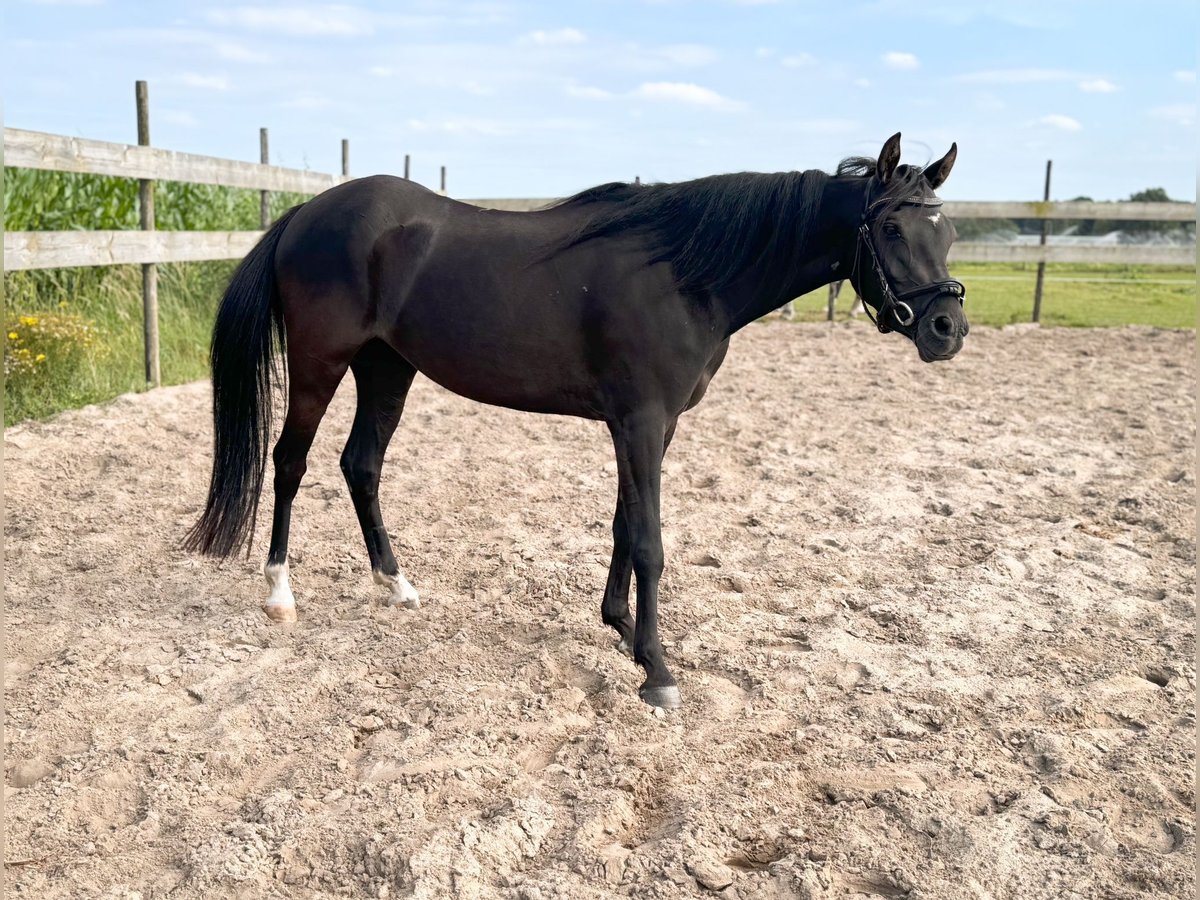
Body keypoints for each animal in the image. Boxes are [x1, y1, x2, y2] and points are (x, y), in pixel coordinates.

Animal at [184, 133, 964, 710]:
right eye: (891, 226)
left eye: (948, 230)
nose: (948, 329)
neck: (685, 275)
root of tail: (303, 214)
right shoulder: (641, 422)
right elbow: (650, 540)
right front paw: (658, 672)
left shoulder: (647, 426)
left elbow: (624, 523)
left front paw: (621, 630)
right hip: (323, 362)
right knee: (291, 463)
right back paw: (280, 595)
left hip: (386, 369)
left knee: (361, 466)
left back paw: (396, 585)